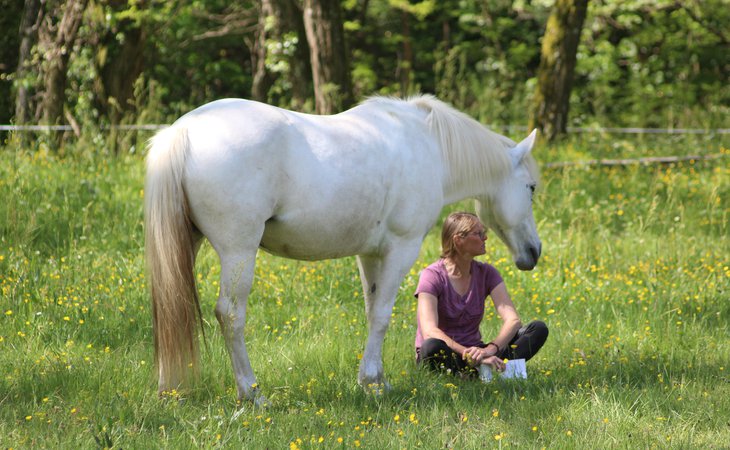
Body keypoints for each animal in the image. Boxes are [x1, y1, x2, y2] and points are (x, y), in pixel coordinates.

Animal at [144, 95, 540, 404]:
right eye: (532, 187)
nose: (534, 252)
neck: (428, 145)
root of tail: (184, 131)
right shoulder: (400, 249)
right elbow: (382, 316)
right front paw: (374, 383)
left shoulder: (370, 255)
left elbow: (371, 311)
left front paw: (373, 381)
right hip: (238, 251)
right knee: (230, 314)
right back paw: (252, 394)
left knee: (171, 305)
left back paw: (170, 391)